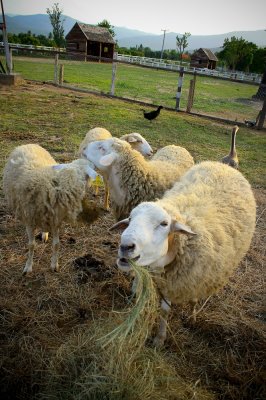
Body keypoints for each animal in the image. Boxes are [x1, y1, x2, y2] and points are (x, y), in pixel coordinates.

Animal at [3, 144, 103, 276]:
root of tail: (29, 144)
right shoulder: (29, 218)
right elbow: (31, 245)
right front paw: (28, 267)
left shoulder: (56, 218)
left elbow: (56, 244)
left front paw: (54, 265)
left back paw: (44, 233)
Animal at [111, 161, 256, 346]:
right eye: (130, 219)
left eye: (164, 224)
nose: (125, 246)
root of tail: (222, 165)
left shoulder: (186, 280)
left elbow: (168, 309)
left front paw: (161, 338)